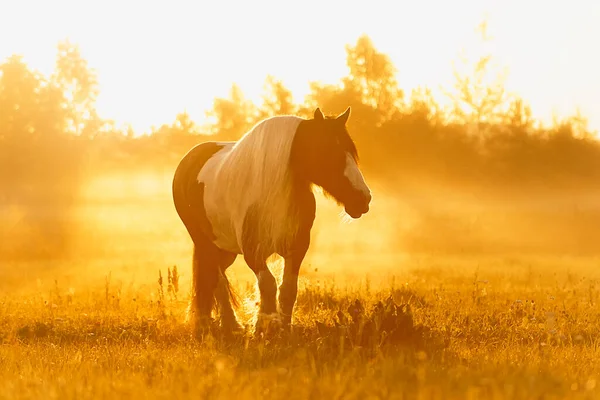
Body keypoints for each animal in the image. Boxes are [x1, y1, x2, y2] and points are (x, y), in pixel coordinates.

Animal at [171, 106, 372, 334]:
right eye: (328, 150)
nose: (363, 199)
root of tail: (190, 158)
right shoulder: (253, 252)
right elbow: (268, 284)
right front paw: (264, 326)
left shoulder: (297, 248)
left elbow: (288, 289)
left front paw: (284, 328)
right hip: (205, 244)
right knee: (218, 281)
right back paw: (229, 324)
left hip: (226, 250)